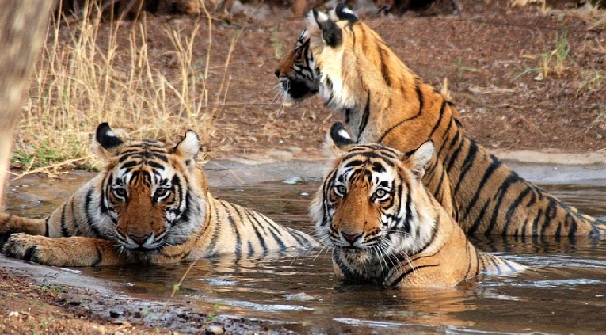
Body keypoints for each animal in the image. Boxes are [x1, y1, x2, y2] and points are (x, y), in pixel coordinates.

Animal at [0, 123, 320, 268]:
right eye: (121, 192)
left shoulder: (146, 254)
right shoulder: (51, 224)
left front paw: (29, 245)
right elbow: (19, 220)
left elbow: (92, 244)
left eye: (162, 193)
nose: (139, 237)